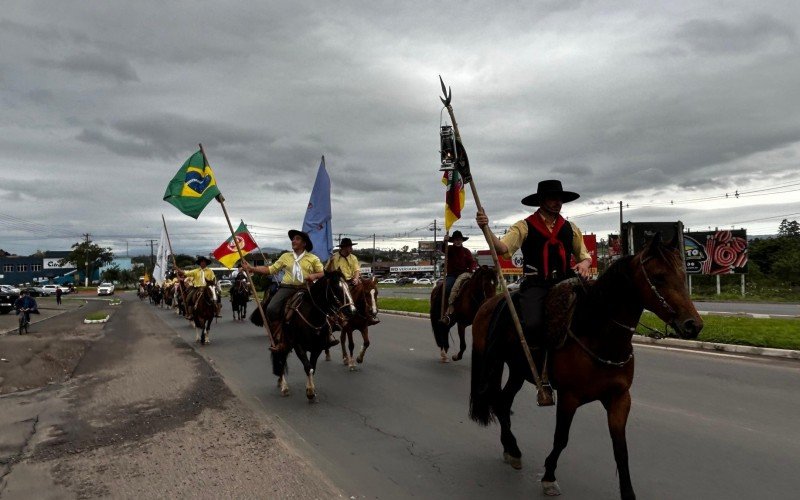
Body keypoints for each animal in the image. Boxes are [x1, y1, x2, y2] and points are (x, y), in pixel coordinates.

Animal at [468, 235, 700, 500]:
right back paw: (513, 449)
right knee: (497, 401)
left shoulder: (620, 398)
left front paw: (628, 493)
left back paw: (511, 449)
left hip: (518, 370)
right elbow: (561, 438)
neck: (597, 334)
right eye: (659, 277)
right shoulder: (569, 398)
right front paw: (549, 477)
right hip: (495, 363)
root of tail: (489, 303)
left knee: (503, 403)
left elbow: (621, 448)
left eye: (683, 275)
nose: (693, 325)